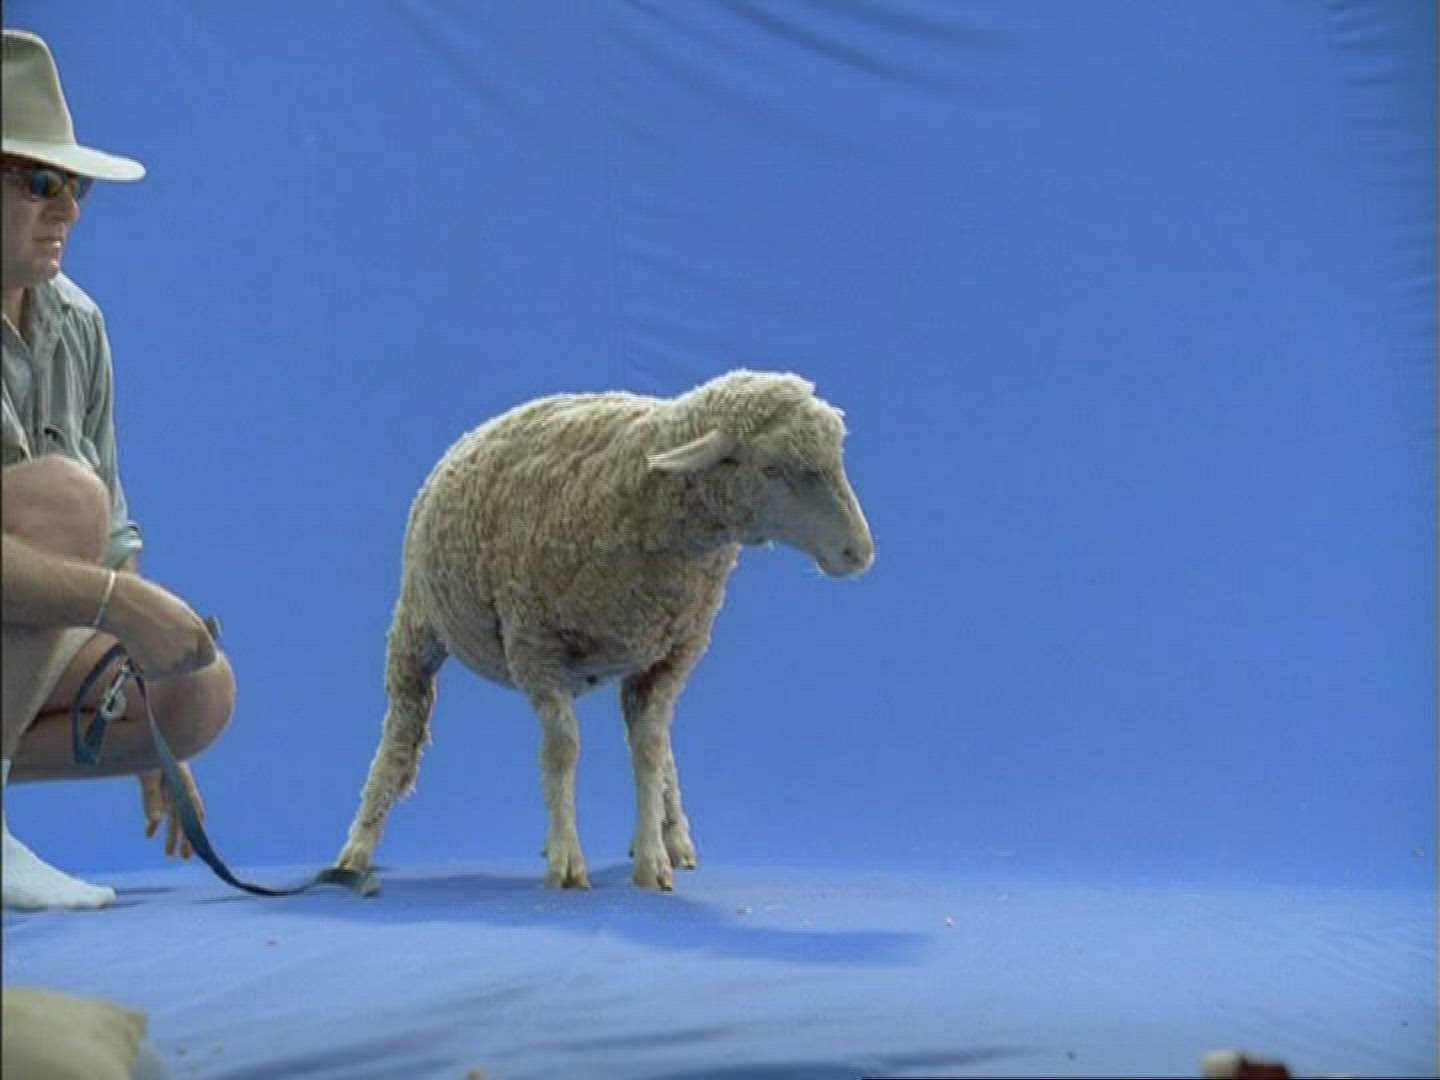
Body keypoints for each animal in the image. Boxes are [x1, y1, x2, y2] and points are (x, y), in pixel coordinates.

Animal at [333, 368, 874, 891]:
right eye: (770, 468)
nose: (859, 552)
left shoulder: (674, 652)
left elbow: (650, 750)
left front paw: (653, 861)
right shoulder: (534, 645)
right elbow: (562, 752)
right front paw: (568, 862)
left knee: (659, 742)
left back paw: (674, 837)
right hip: (417, 622)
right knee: (401, 731)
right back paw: (356, 849)